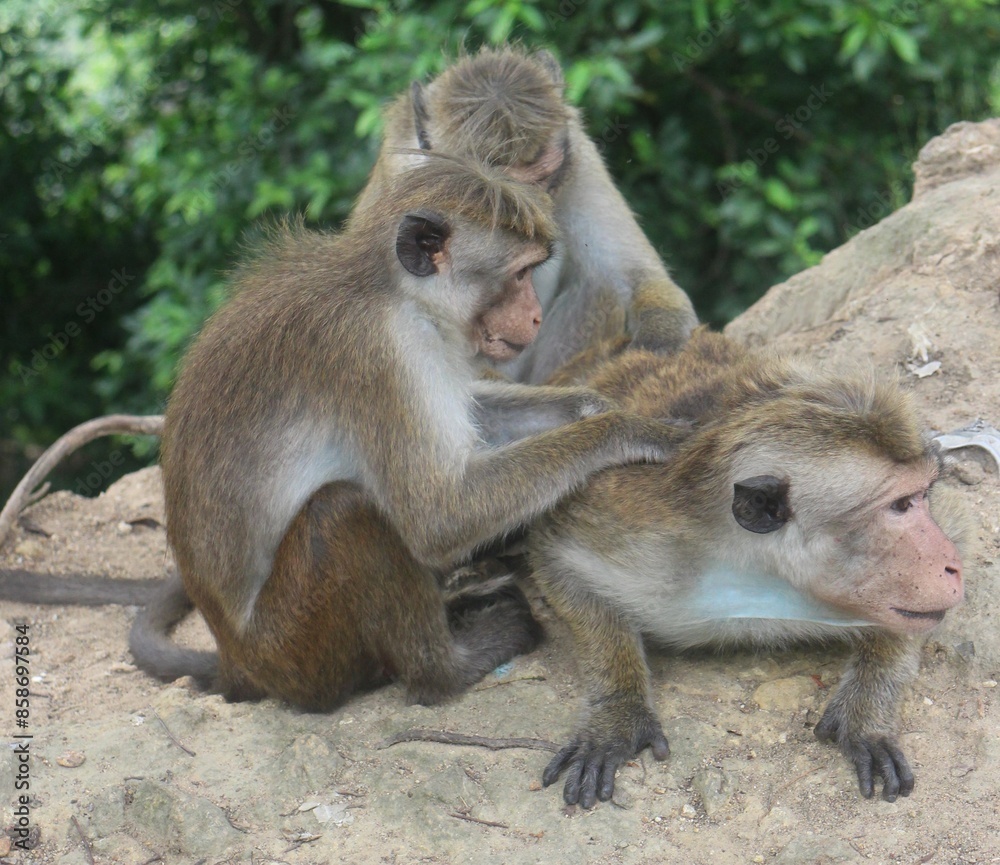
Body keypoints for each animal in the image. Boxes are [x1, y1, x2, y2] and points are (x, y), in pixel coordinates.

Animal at [150, 155, 685, 710]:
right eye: (521, 274)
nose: (536, 315)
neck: (400, 296)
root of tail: (236, 660)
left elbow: (473, 416)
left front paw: (595, 406)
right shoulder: (383, 353)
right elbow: (437, 515)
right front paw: (623, 429)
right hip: (293, 649)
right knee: (346, 511)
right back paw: (447, 669)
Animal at [353, 45, 698, 382]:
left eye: (540, 178)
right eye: (496, 187)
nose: (534, 212)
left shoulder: (580, 156)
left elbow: (636, 275)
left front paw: (658, 340)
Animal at [528, 327, 968, 808]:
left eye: (923, 496)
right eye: (900, 506)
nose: (952, 566)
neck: (757, 573)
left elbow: (920, 606)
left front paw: (866, 713)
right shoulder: (637, 535)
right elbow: (557, 559)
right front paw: (617, 711)